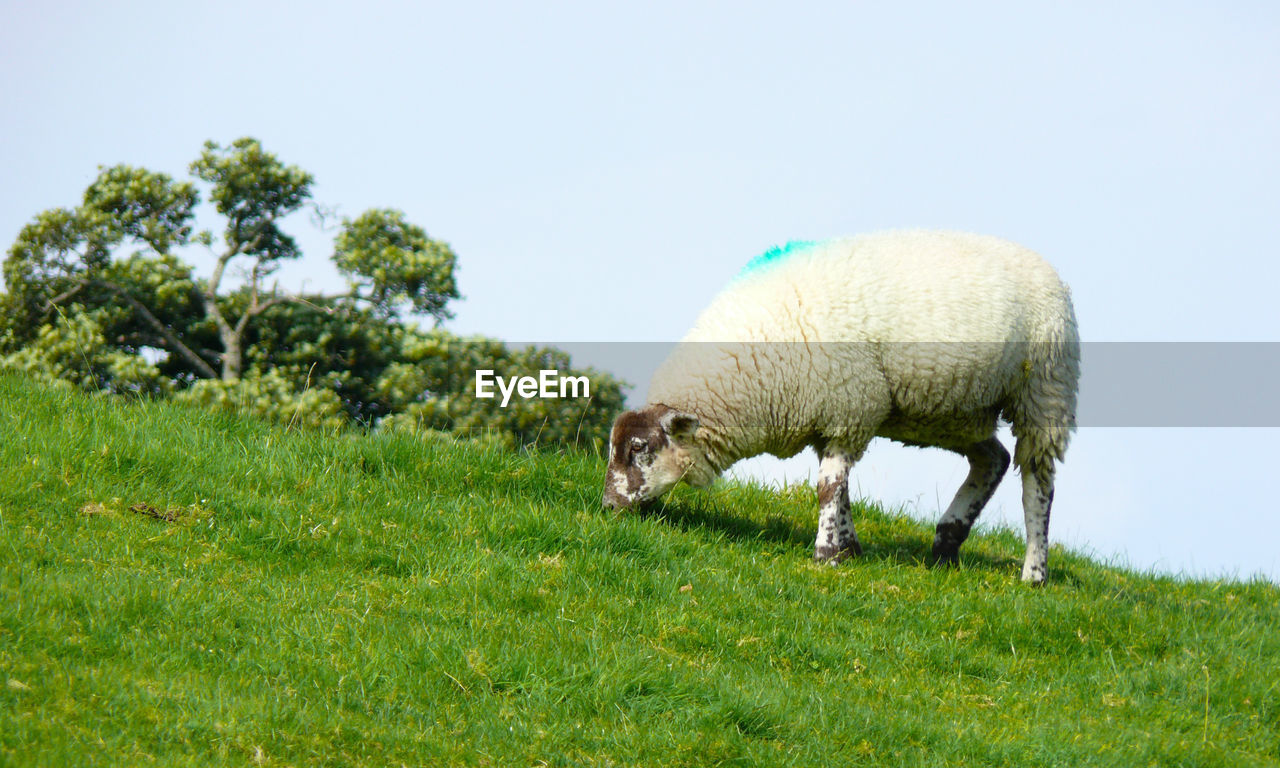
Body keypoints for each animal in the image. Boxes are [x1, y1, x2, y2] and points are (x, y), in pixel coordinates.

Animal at [601, 230, 1080, 586]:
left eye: (639, 448)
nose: (606, 507)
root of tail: (1053, 274)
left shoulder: (849, 407)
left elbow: (828, 486)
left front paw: (827, 553)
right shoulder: (833, 418)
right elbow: (841, 487)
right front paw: (848, 547)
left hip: (1044, 390)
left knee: (1038, 484)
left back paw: (1034, 572)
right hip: (954, 411)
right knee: (992, 459)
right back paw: (946, 544)